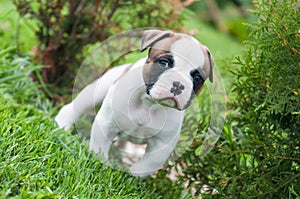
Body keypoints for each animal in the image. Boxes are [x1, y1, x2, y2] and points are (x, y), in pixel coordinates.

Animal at [54, 28, 213, 176]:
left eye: (197, 78)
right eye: (164, 62)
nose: (178, 84)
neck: (149, 103)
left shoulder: (162, 145)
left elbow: (148, 164)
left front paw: (133, 176)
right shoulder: (107, 122)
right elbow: (100, 147)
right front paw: (101, 163)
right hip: (99, 88)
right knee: (77, 105)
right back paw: (63, 123)